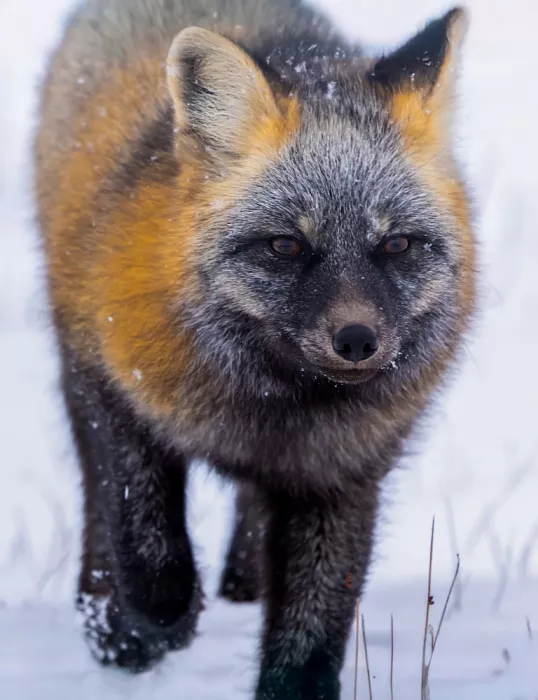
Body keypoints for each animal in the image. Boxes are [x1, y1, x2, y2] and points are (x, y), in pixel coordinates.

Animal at [34, 0, 476, 697]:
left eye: (397, 245)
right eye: (286, 246)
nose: (357, 340)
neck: (267, 411)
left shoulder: (342, 473)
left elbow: (310, 632)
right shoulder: (112, 385)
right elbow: (144, 540)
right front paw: (161, 620)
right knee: (100, 512)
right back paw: (114, 630)